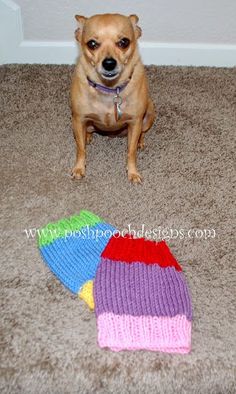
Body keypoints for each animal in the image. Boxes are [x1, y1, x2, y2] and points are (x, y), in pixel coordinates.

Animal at [70, 13, 155, 183]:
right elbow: (80, 149)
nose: (109, 63)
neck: (109, 89)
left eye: (124, 42)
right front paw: (79, 168)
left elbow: (131, 151)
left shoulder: (135, 122)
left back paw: (141, 141)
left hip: (149, 113)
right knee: (86, 132)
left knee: (142, 133)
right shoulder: (78, 118)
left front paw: (133, 172)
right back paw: (88, 136)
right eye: (92, 44)